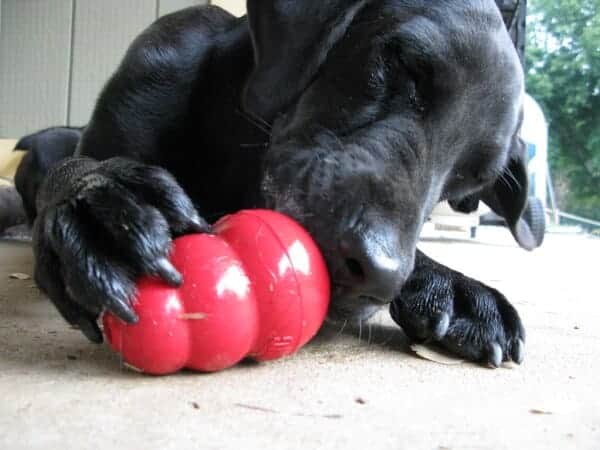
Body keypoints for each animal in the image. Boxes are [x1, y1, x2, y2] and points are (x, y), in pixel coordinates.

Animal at [14, 0, 536, 366]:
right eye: (402, 65)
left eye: (467, 183)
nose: (377, 274)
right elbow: (81, 170)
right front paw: (97, 205)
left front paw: (451, 284)